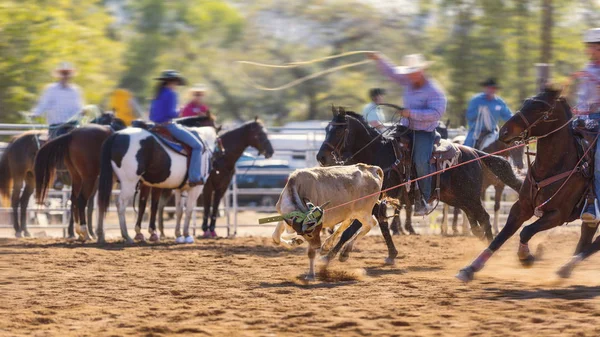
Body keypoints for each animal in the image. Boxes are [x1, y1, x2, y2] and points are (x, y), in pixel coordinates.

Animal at [316, 106, 524, 264]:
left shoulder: (374, 202)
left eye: (339, 130)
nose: (321, 157)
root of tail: (475, 153)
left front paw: (331, 254)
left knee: (485, 218)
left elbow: (352, 228)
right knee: (476, 222)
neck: (379, 155)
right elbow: (377, 225)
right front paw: (391, 254)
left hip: (470, 197)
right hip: (458, 199)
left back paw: (489, 250)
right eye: (326, 129)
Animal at [458, 86, 588, 280]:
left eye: (540, 108)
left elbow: (526, 230)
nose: (504, 132)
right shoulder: (521, 207)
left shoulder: (558, 214)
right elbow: (501, 236)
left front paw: (525, 256)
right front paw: (471, 268)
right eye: (526, 102)